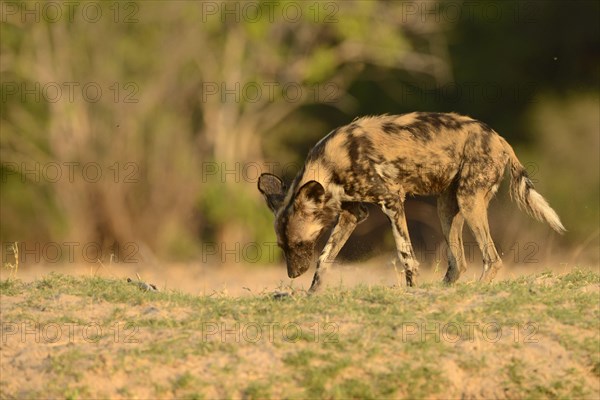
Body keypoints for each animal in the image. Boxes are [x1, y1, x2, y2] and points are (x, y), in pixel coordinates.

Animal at [256, 111, 564, 292]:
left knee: (492, 259)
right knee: (459, 263)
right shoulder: (353, 214)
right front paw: (312, 294)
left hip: (469, 201)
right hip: (447, 207)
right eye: (283, 246)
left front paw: (411, 290)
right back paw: (442, 291)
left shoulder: (391, 201)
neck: (329, 165)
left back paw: (475, 289)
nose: (293, 274)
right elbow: (324, 259)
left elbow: (406, 255)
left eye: (298, 245)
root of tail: (499, 138)